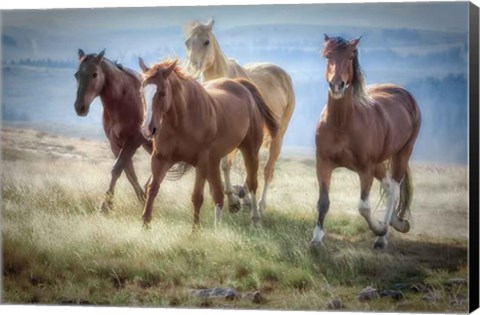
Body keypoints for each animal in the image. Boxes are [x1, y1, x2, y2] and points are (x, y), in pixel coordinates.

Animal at [74, 49, 152, 212]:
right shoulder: (115, 143)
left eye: (94, 74)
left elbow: (117, 169)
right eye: (76, 75)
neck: (123, 100)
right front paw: (142, 199)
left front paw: (105, 206)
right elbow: (129, 173)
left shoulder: (132, 141)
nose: (80, 107)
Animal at [137, 57, 278, 230]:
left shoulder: (202, 162)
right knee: (218, 193)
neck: (181, 121)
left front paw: (195, 231)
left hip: (249, 152)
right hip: (214, 160)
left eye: (163, 92)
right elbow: (152, 189)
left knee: (252, 184)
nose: (148, 129)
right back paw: (220, 224)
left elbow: (197, 196)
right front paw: (145, 225)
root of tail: (241, 86)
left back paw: (255, 220)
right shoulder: (160, 159)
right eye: (141, 92)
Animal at [184, 18, 296, 217]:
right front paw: (231, 198)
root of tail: (283, 74)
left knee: (267, 170)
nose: (193, 67)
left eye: (206, 41)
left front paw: (232, 201)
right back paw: (244, 195)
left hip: (278, 136)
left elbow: (225, 165)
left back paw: (259, 204)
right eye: (187, 42)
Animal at [312, 35, 420, 249]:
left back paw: (382, 237)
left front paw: (379, 229)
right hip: (379, 163)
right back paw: (397, 223)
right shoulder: (324, 163)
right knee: (388, 186)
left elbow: (363, 207)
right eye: (328, 56)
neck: (342, 123)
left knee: (393, 189)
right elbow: (323, 202)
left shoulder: (365, 169)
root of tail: (402, 92)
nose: (337, 85)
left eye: (350, 57)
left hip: (402, 153)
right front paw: (317, 239)